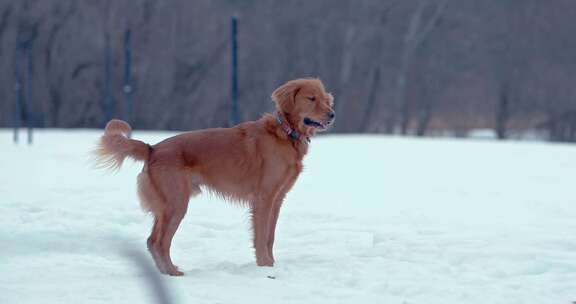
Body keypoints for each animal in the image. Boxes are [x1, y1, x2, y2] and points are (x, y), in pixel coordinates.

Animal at [94, 78, 336, 276]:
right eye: (311, 98)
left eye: (326, 99)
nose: (332, 114)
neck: (284, 133)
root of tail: (152, 148)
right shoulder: (264, 198)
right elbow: (261, 237)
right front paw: (265, 266)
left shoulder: (277, 200)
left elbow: (270, 237)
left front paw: (271, 265)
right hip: (176, 204)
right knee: (159, 242)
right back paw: (171, 272)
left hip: (167, 208)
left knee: (152, 241)